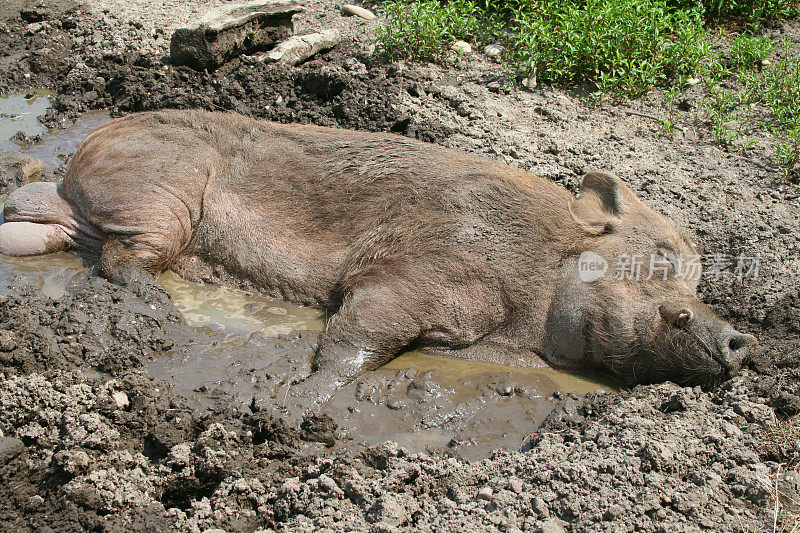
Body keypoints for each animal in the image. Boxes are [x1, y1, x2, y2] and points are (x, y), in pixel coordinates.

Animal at [0, 109, 756, 404]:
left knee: (55, 231)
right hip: (162, 190)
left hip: (89, 211)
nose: (737, 336)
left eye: (699, 276)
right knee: (122, 258)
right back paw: (158, 303)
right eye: (659, 257)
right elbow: (360, 332)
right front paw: (300, 401)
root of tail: (81, 157)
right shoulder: (416, 262)